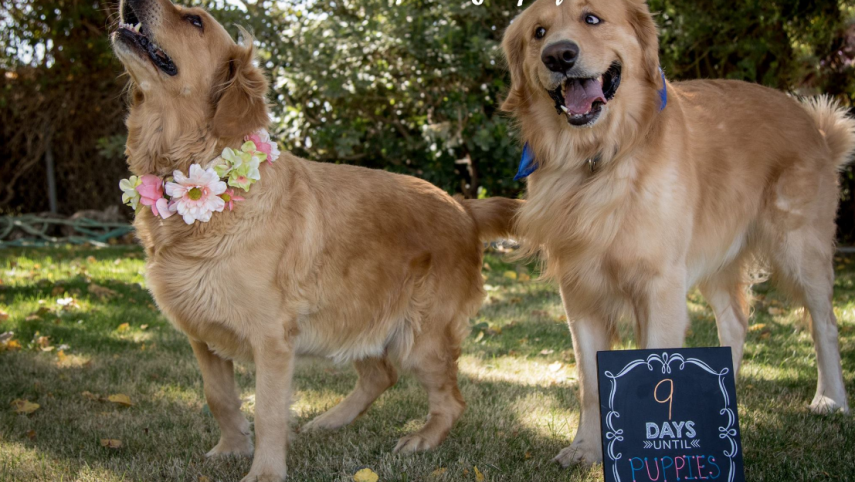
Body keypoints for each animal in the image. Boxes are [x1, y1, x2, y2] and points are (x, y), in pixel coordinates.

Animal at [109, 1, 520, 480]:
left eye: (195, 21)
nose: (132, 1)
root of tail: (462, 205)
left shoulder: (271, 340)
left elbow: (268, 411)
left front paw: (264, 472)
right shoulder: (202, 333)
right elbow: (220, 397)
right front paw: (230, 449)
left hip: (421, 338)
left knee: (450, 401)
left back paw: (421, 440)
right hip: (356, 313)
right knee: (380, 375)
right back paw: (330, 421)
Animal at [502, 0, 855, 470]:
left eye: (591, 18)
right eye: (538, 32)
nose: (558, 56)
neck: (596, 161)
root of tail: (811, 123)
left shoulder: (661, 285)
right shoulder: (579, 292)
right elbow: (590, 382)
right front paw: (587, 448)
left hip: (800, 249)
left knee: (825, 325)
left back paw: (831, 399)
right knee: (736, 323)